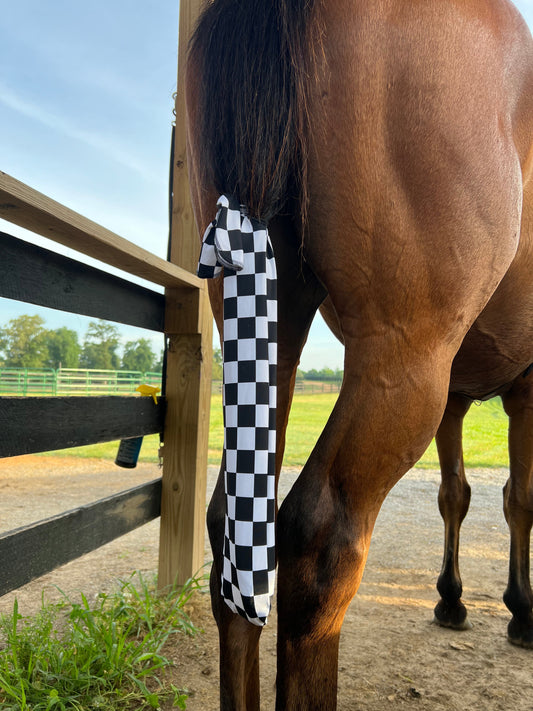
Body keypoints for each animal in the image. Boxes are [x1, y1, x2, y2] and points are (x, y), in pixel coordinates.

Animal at [184, 0, 532, 708]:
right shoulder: (522, 389)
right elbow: (522, 498)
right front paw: (522, 612)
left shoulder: (460, 399)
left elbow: (457, 493)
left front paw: (453, 601)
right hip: (403, 363)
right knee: (320, 545)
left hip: (275, 331)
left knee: (236, 535)